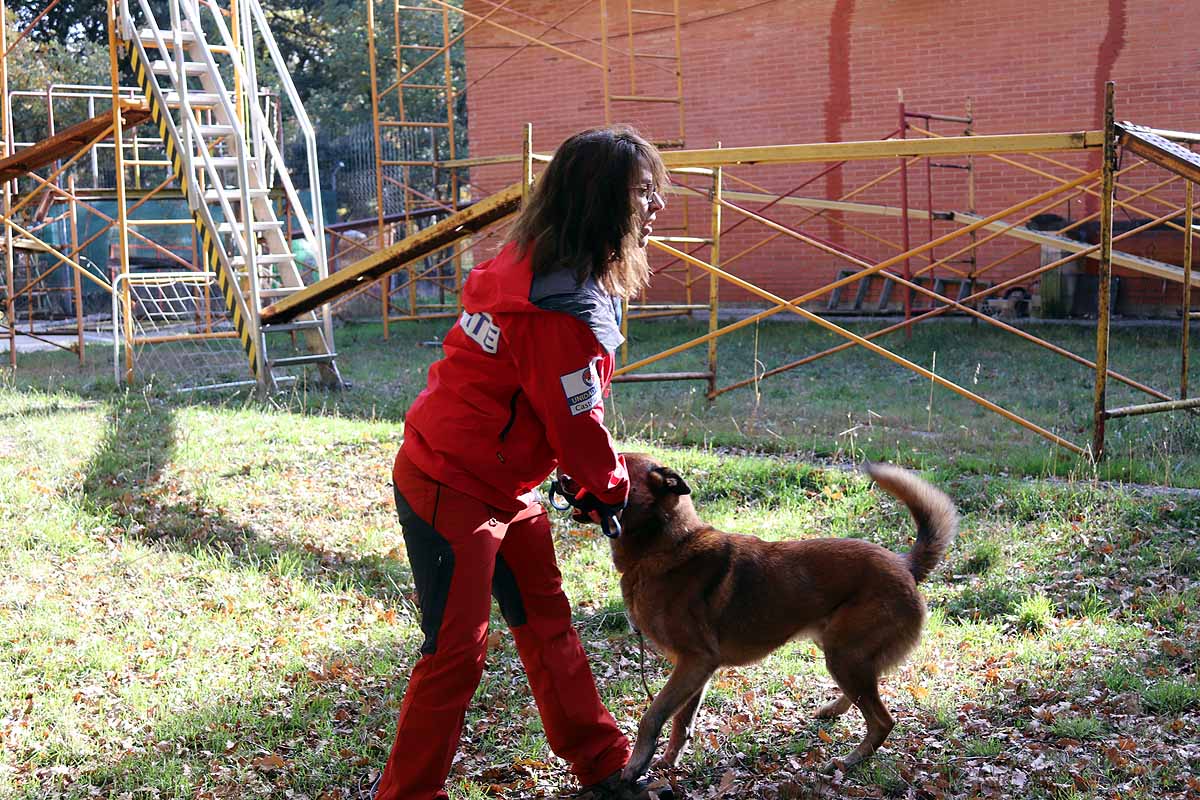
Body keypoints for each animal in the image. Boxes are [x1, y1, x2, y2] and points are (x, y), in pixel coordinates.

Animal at [568, 453, 955, 777]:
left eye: (611, 466)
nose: (562, 477)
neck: (668, 546)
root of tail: (905, 565)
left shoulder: (694, 661)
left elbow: (653, 717)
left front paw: (636, 766)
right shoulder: (695, 671)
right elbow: (681, 722)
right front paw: (668, 761)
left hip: (844, 655)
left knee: (882, 720)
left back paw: (850, 761)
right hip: (841, 652)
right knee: (868, 692)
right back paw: (834, 710)